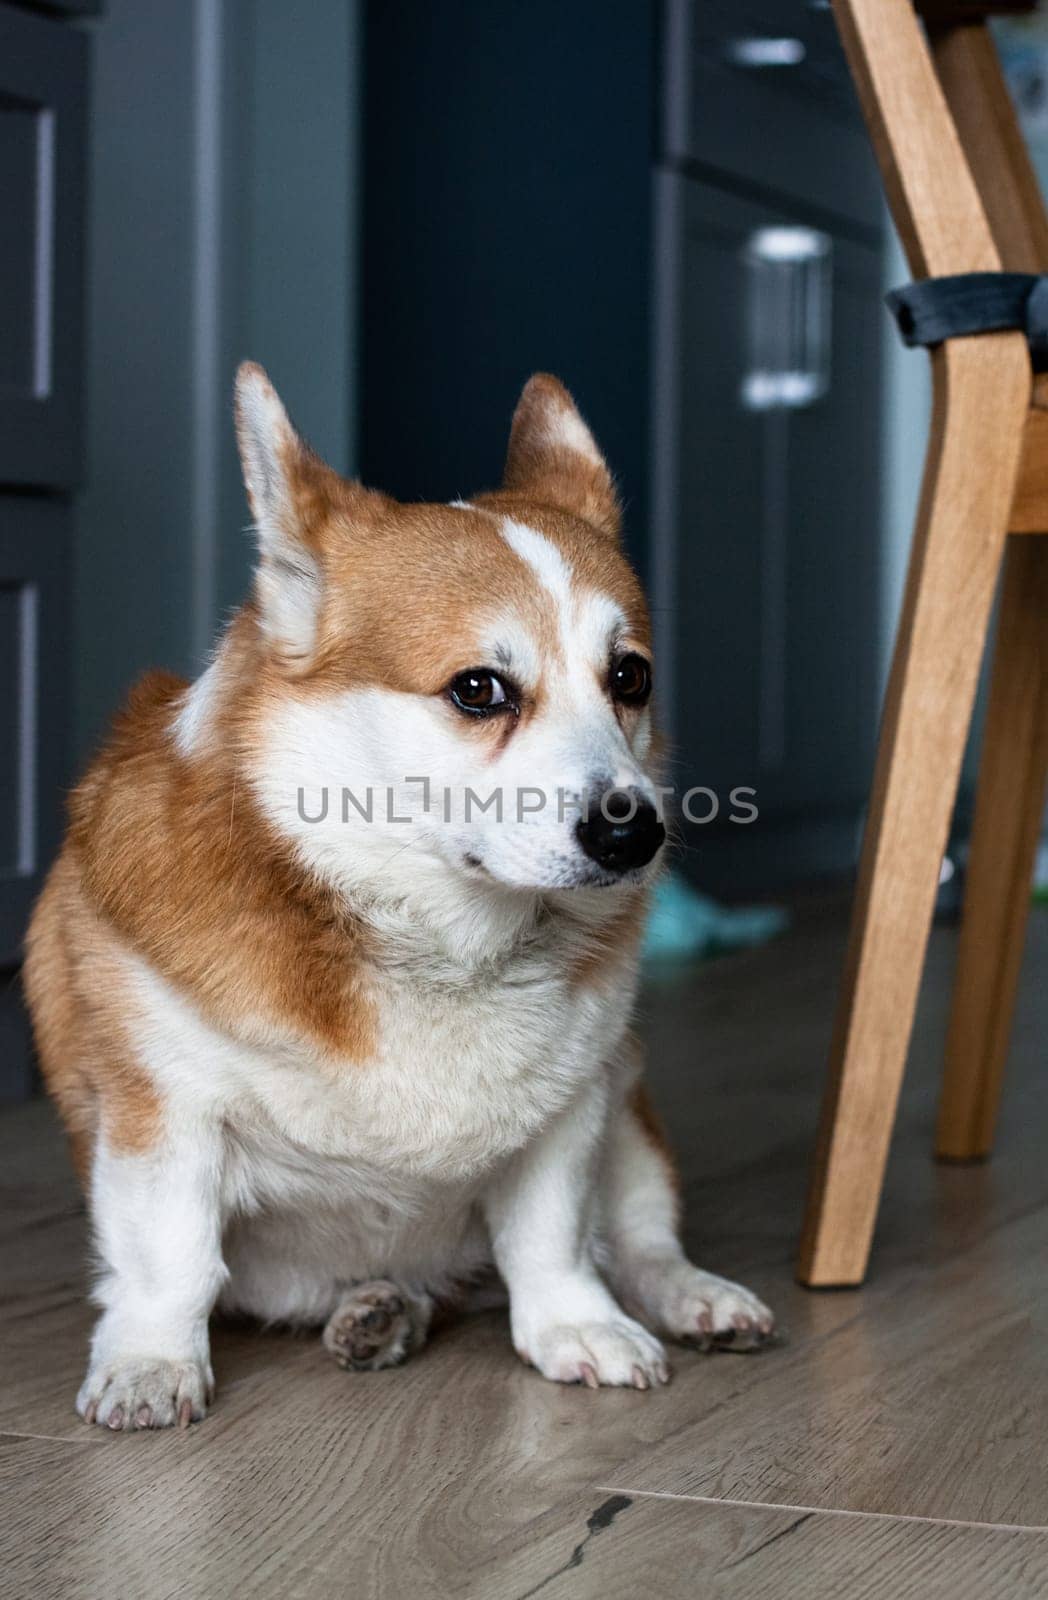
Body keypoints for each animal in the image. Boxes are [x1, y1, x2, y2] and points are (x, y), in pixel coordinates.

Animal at [22, 368, 771, 1433]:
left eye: (630, 677)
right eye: (479, 690)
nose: (635, 835)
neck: (436, 933)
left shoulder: (572, 1108)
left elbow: (552, 1235)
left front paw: (576, 1329)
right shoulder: (160, 1109)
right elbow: (169, 1256)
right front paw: (150, 1365)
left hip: (629, 1099)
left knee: (638, 1238)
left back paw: (689, 1298)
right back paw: (377, 1311)